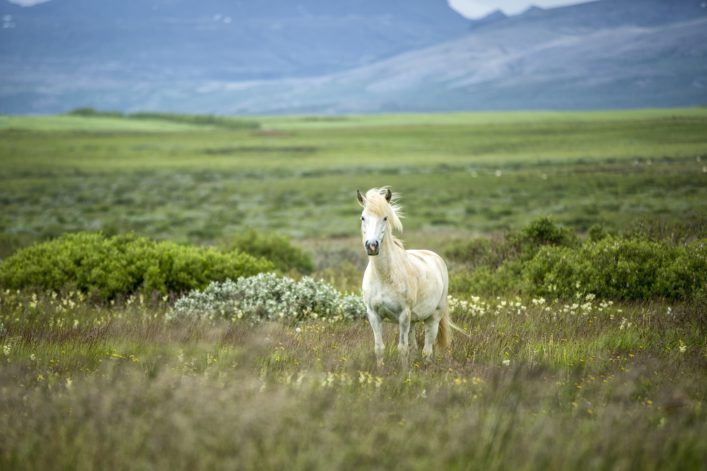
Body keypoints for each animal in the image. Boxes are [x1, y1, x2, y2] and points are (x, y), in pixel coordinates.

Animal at [357, 187, 451, 369]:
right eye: (363, 217)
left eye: (385, 217)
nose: (372, 246)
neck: (384, 276)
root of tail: (435, 257)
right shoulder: (373, 315)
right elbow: (379, 348)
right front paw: (382, 371)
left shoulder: (403, 315)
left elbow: (402, 349)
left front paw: (403, 373)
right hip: (413, 321)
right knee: (415, 348)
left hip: (432, 317)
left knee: (427, 350)